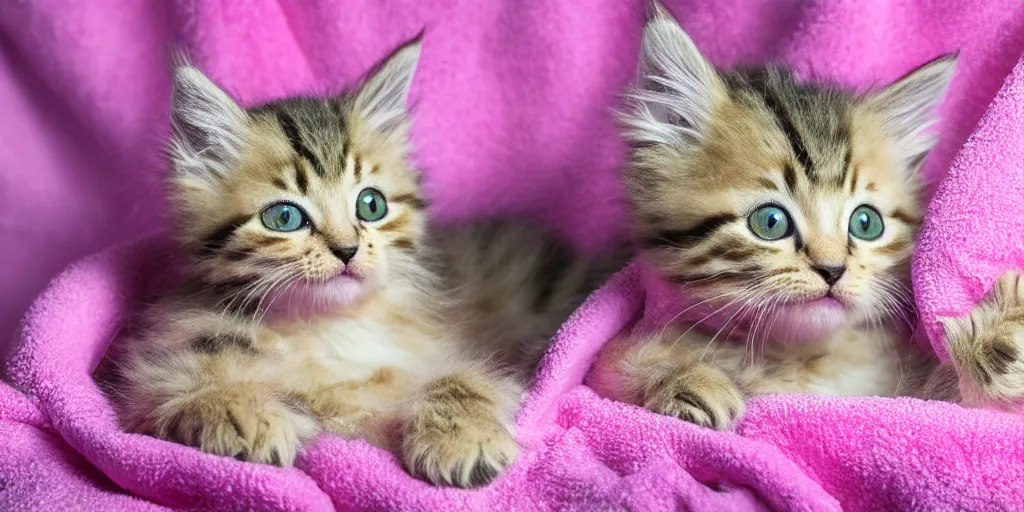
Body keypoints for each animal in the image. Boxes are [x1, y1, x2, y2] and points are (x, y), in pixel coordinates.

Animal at [110, 37, 606, 485]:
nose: (347, 249)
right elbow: (186, 393)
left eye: (371, 205)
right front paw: (242, 415)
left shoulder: (459, 356)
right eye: (284, 217)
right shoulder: (151, 381)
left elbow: (460, 380)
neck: (328, 327)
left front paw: (462, 440)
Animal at [589, 6, 962, 430]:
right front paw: (687, 380)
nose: (833, 270)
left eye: (866, 223)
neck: (794, 360)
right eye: (770, 222)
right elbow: (613, 367)